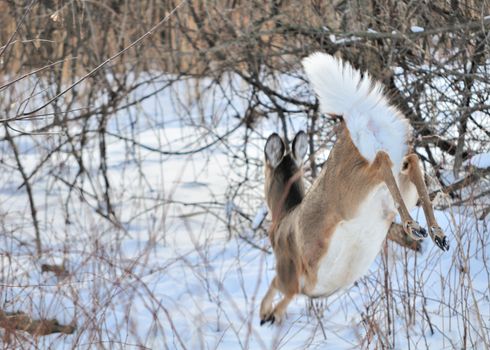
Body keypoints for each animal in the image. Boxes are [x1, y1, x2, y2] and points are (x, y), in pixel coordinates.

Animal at [260, 52, 448, 326]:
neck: (284, 216)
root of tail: (358, 115)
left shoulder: (290, 275)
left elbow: (276, 287)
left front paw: (267, 315)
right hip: (394, 183)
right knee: (411, 162)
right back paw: (433, 233)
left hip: (351, 195)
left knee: (381, 162)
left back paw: (416, 227)